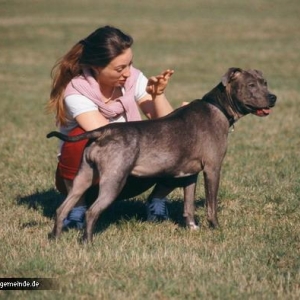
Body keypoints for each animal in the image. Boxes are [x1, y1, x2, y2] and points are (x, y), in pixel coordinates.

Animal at [47, 67, 276, 243]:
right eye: (251, 85)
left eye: (264, 82)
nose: (273, 97)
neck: (218, 106)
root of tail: (102, 131)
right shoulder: (212, 169)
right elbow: (211, 205)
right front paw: (216, 227)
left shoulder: (189, 175)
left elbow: (188, 205)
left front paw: (192, 227)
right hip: (114, 180)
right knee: (91, 212)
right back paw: (88, 242)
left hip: (83, 178)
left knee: (62, 209)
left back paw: (55, 238)